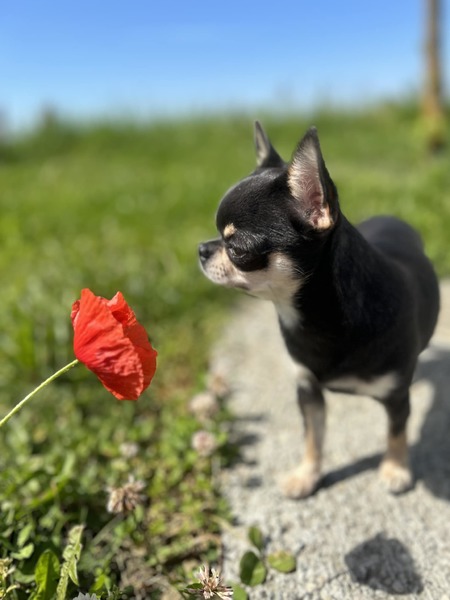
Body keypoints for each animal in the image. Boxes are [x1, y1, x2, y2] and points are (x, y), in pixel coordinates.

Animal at [199, 120, 438, 496]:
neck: (316, 319)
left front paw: (395, 469)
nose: (201, 250)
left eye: (236, 248)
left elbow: (396, 433)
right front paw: (307, 475)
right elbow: (313, 436)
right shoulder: (308, 390)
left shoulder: (397, 396)